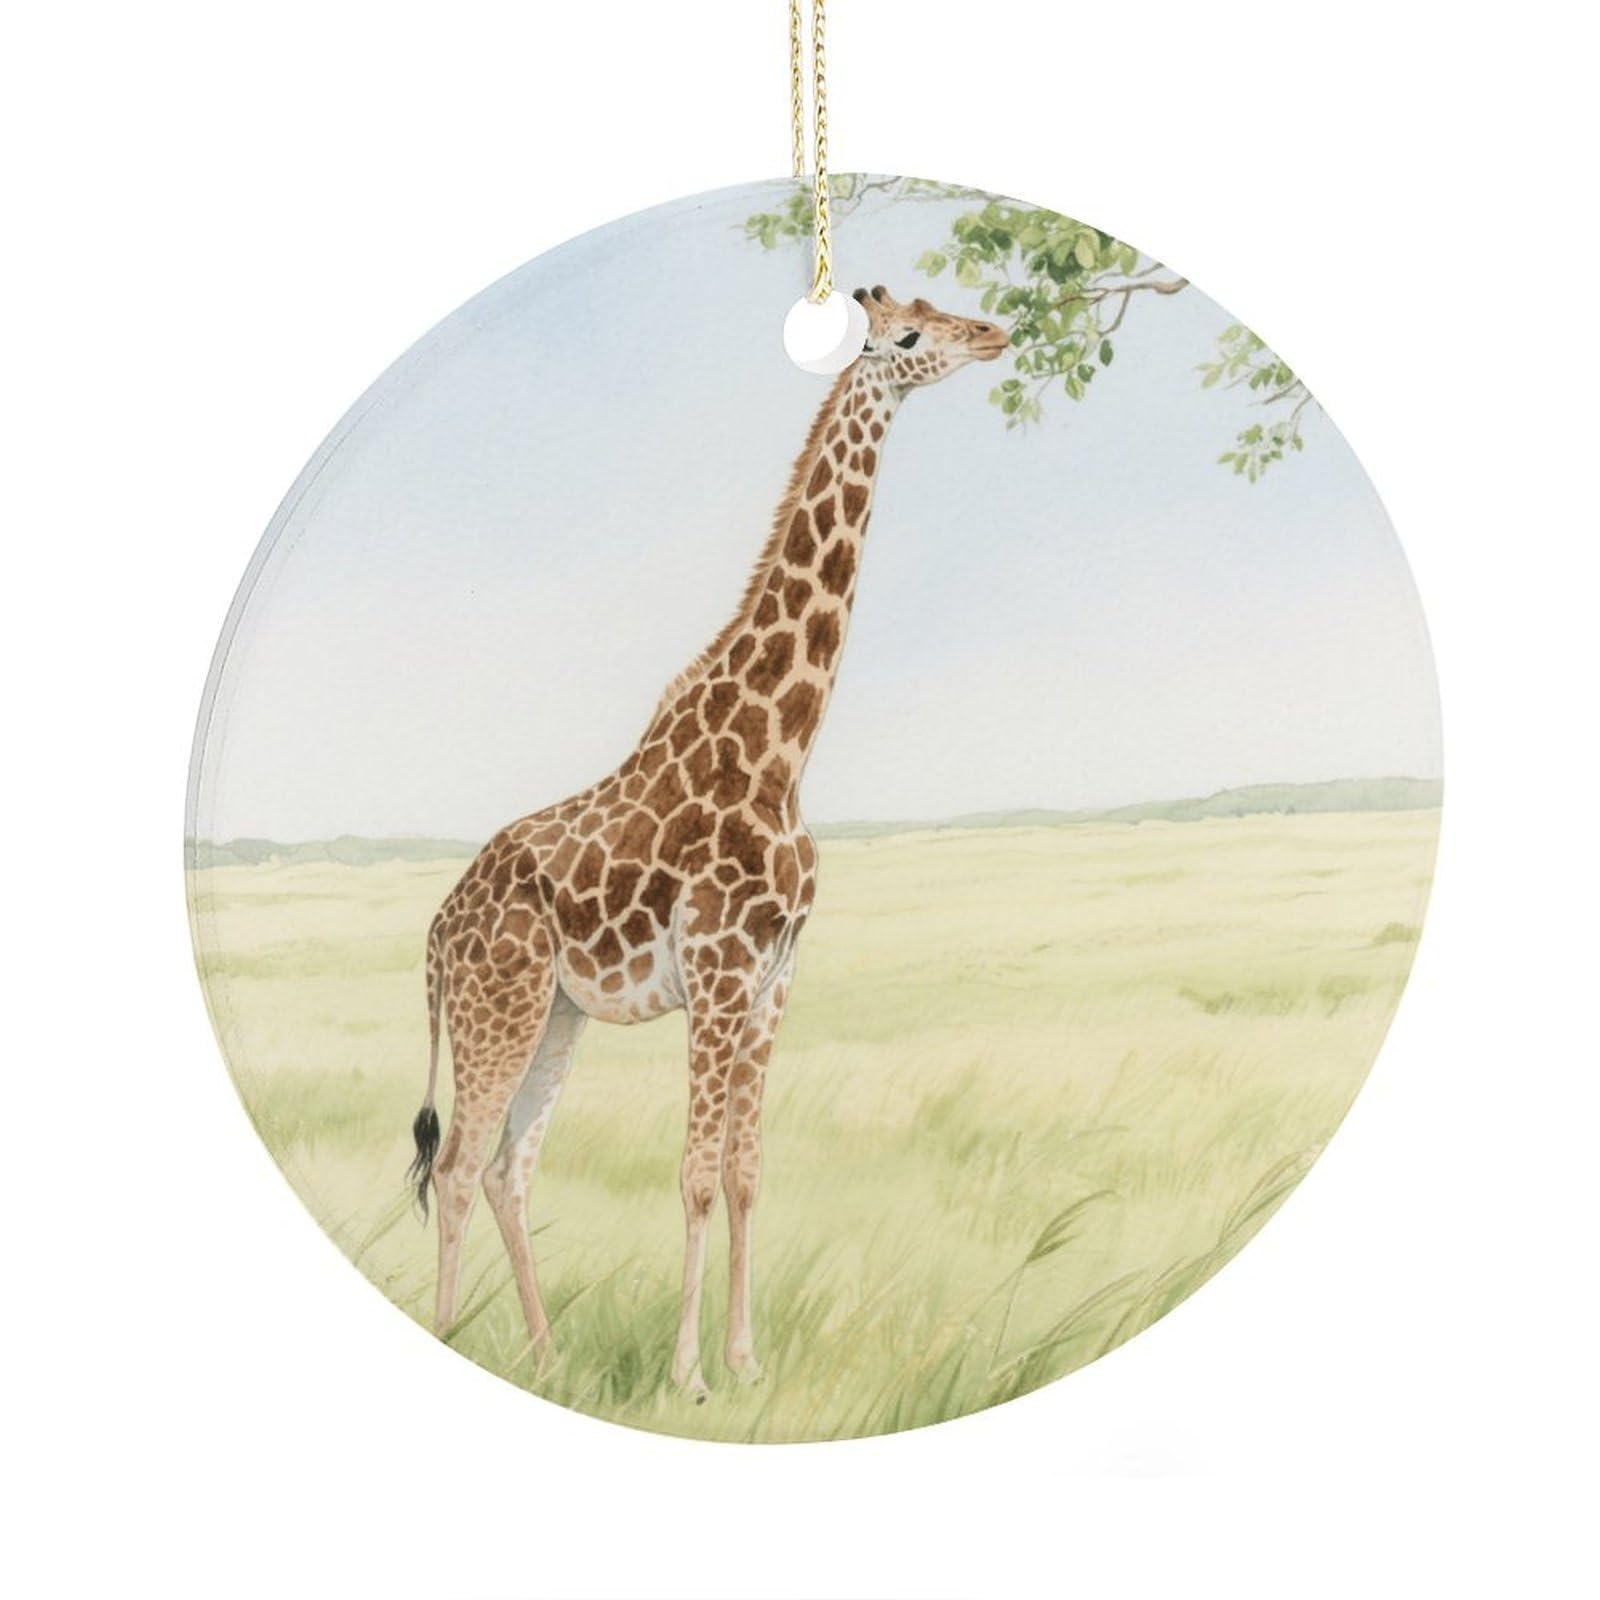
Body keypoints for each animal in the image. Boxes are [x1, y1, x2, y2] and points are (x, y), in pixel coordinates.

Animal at [408, 285, 1008, 1399]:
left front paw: (745, 1360)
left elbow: (745, 1173)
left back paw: (546, 1353)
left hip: (559, 1014)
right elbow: (691, 1176)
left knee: (511, 1165)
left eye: (943, 308)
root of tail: (433, 933)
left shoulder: (773, 979)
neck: (780, 752)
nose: (993, 334)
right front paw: (687, 1373)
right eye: (910, 333)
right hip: (495, 1007)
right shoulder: (722, 971)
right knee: (463, 1163)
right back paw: (453, 1334)